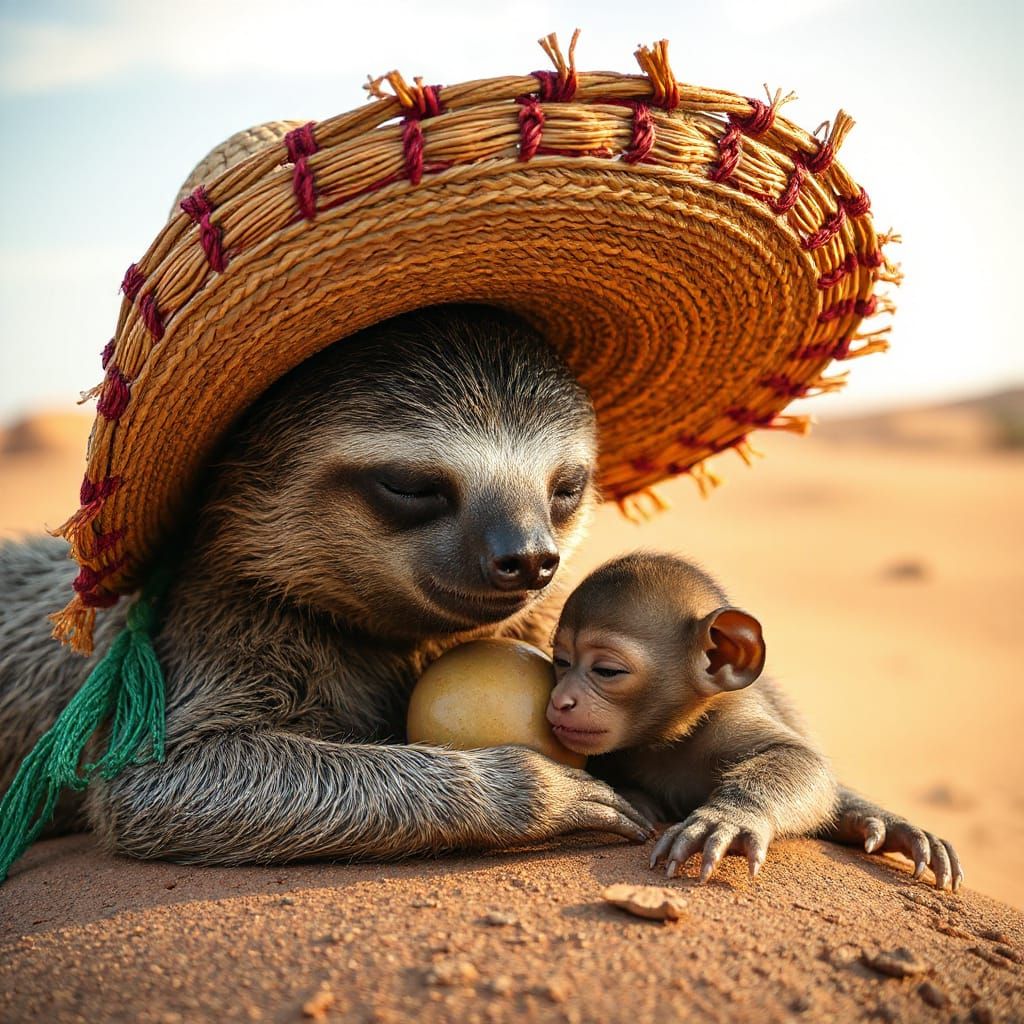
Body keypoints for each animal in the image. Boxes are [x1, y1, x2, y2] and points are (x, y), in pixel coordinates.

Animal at [547, 552, 964, 890]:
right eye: (561, 662)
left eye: (607, 670)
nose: (559, 700)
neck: (669, 737)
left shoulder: (730, 717)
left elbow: (800, 757)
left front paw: (729, 816)